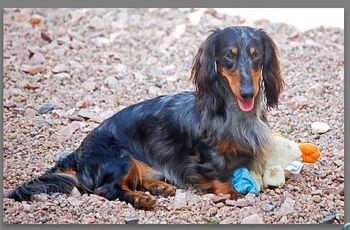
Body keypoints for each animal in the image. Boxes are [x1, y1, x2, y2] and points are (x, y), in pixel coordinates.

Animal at [7, 26, 284, 209]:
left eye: (256, 54)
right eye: (229, 54)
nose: (248, 92)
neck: (233, 113)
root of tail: (79, 152)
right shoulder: (207, 155)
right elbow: (219, 175)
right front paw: (233, 194)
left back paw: (159, 187)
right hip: (119, 159)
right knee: (106, 189)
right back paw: (142, 199)